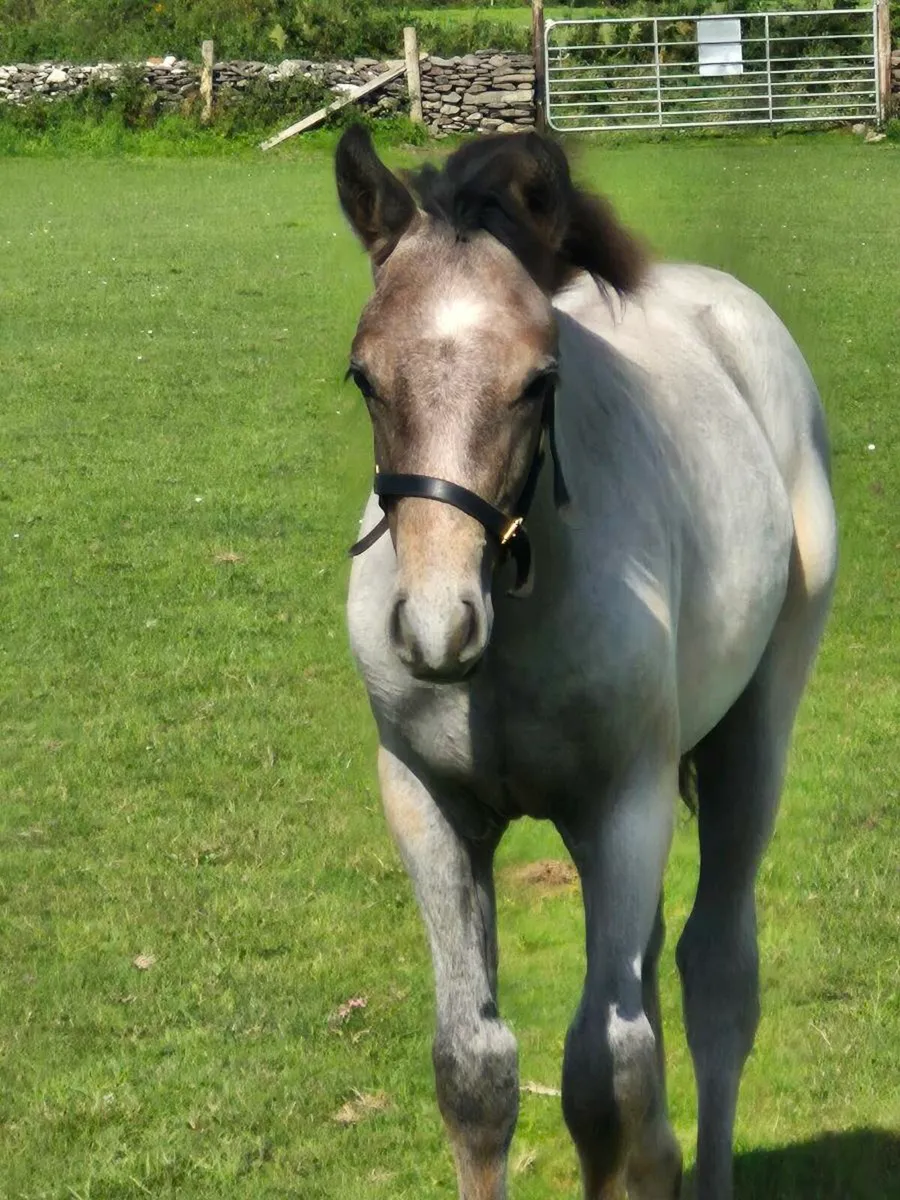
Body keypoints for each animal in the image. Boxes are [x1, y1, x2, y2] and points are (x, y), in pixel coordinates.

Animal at [334, 125, 836, 1200]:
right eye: (364, 376)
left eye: (539, 381)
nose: (436, 628)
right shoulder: (426, 801)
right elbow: (475, 1069)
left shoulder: (624, 802)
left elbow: (607, 1077)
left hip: (748, 738)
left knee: (715, 971)